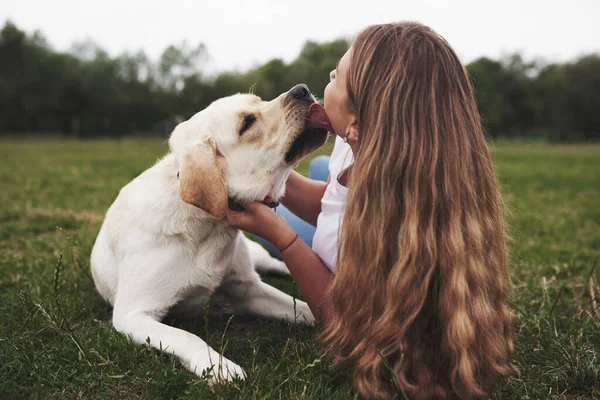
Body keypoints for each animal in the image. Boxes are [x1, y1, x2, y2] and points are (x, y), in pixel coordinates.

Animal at [91, 83, 330, 382]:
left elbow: (303, 308)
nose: (302, 89)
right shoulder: (134, 313)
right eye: (247, 123)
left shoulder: (248, 289)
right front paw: (220, 367)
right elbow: (188, 337)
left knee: (277, 264)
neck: (208, 226)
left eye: (260, 100)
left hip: (258, 257)